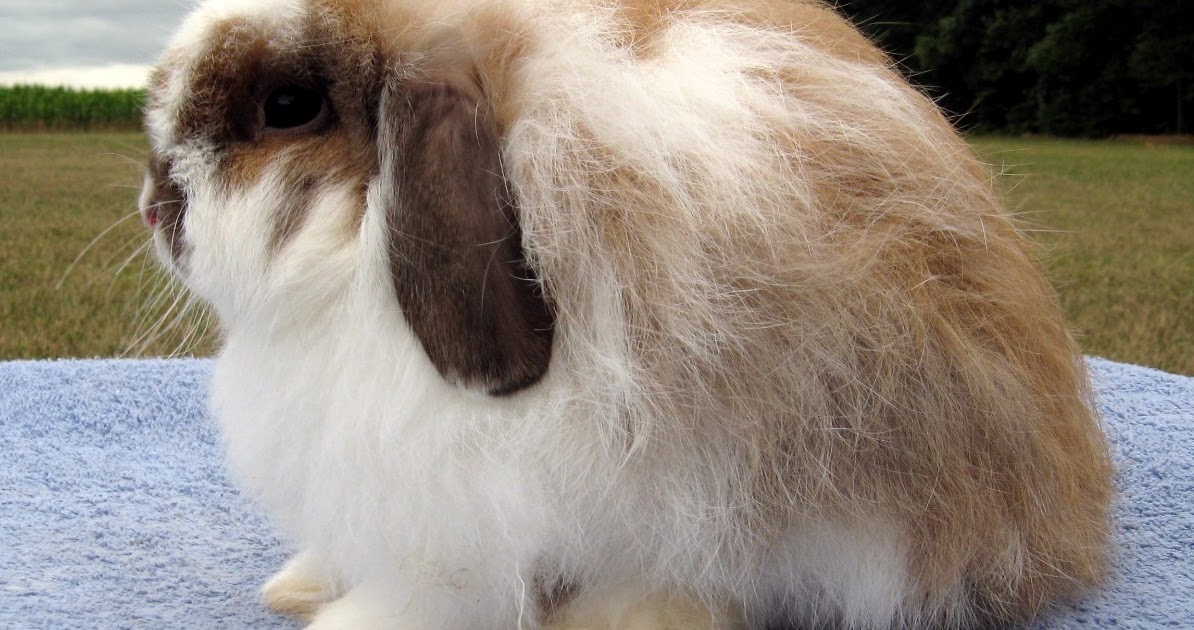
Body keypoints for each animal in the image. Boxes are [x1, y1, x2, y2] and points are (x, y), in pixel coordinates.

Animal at [139, 0, 1113, 628]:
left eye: (288, 107)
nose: (155, 207)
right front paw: (297, 586)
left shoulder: (453, 517)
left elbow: (422, 592)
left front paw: (343, 622)